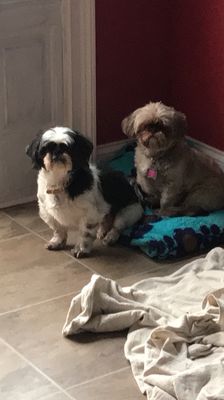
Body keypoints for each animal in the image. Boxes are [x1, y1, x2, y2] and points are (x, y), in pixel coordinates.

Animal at [25, 127, 142, 256]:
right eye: (46, 148)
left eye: (68, 148)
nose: (57, 152)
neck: (59, 180)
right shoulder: (48, 212)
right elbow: (58, 229)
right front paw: (57, 242)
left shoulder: (89, 214)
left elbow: (85, 233)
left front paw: (81, 249)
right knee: (106, 220)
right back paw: (102, 231)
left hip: (129, 212)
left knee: (117, 226)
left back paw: (110, 237)